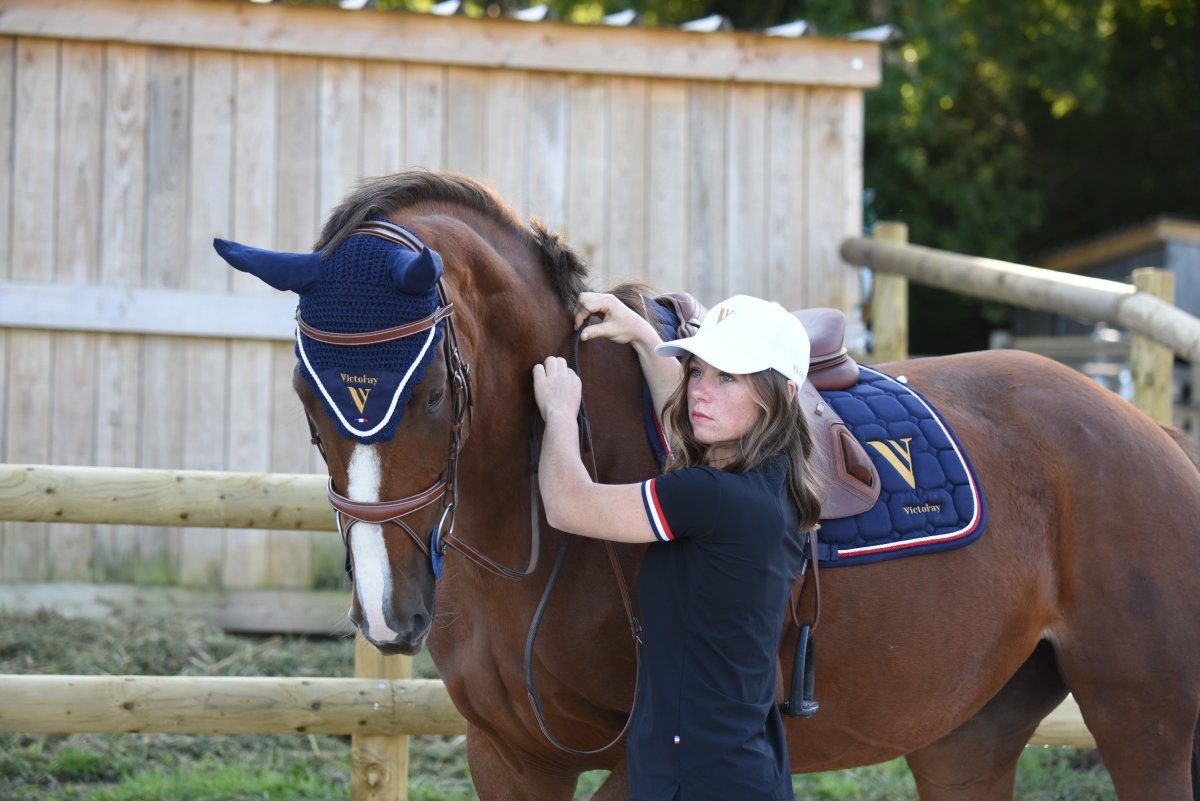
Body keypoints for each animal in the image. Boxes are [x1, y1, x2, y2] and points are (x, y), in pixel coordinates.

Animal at [214, 169, 1200, 801]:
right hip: (968, 735)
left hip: (1143, 723)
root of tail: (1151, 433)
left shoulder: (639, 759)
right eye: (306, 393)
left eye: (425, 394)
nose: (391, 612)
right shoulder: (510, 754)